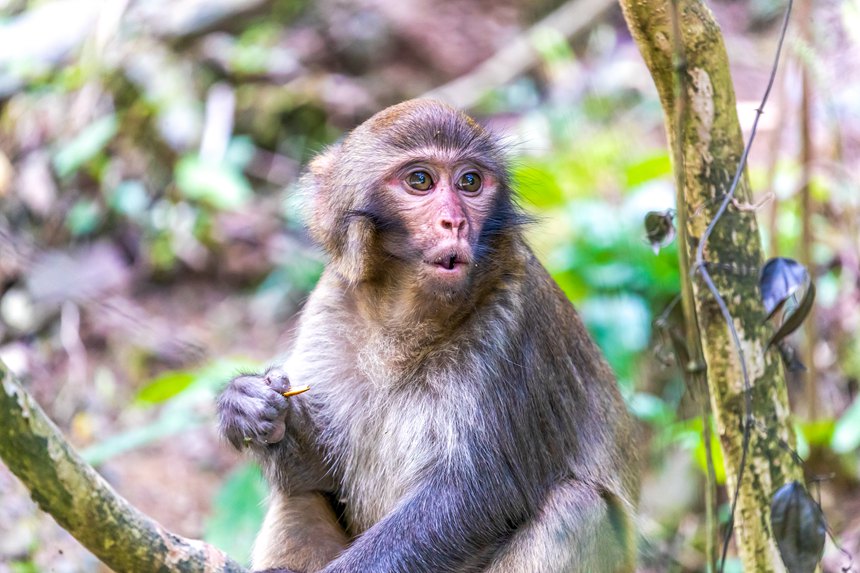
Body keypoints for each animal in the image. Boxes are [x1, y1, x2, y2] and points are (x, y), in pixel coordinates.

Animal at [218, 99, 640, 572]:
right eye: (420, 180)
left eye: (470, 182)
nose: (454, 222)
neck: (405, 321)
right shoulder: (330, 305)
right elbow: (318, 477)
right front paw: (248, 405)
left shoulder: (512, 326)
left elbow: (475, 497)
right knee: (299, 496)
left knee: (578, 508)